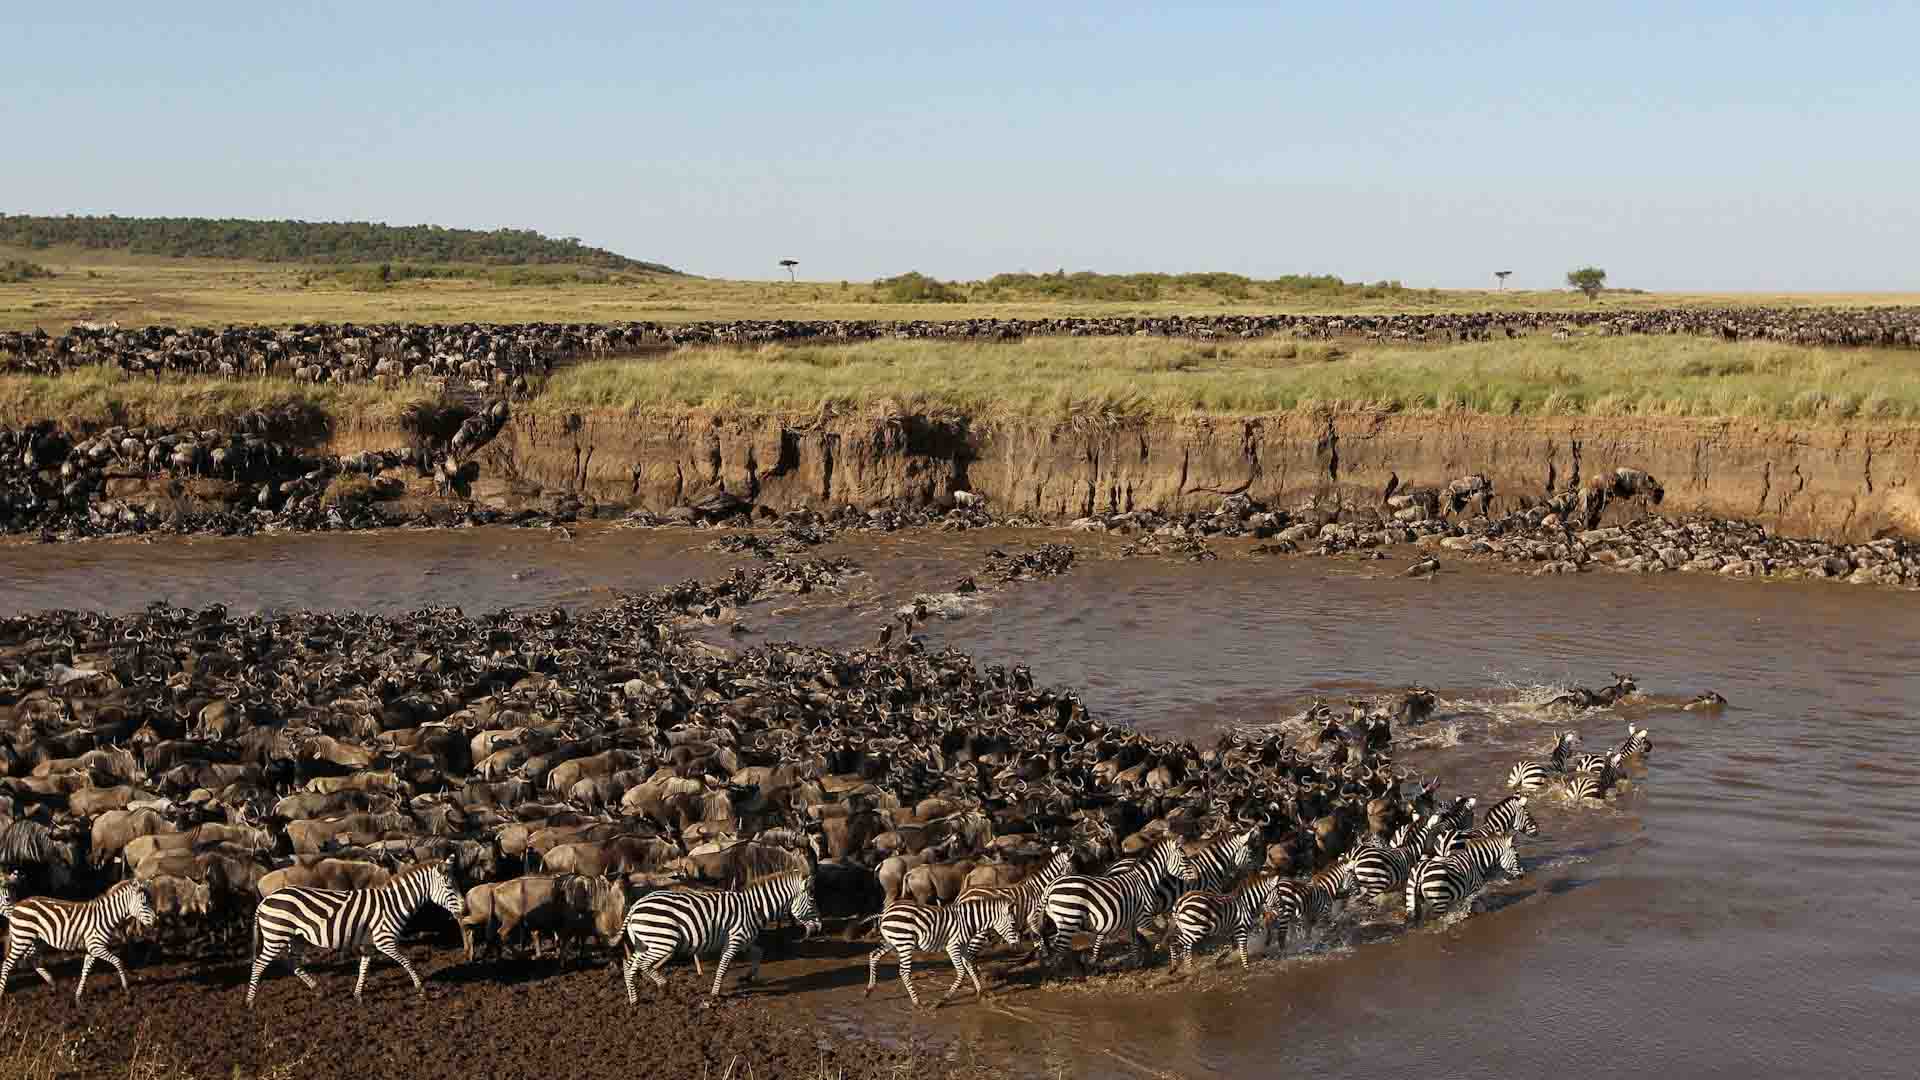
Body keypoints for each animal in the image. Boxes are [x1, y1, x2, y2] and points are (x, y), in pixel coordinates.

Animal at [0, 880, 155, 999]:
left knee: (32, 959)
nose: (155, 920)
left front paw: (78, 995)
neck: (105, 917)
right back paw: (1, 993)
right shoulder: (97, 947)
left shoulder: (92, 949)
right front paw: (126, 988)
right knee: (7, 963)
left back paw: (53, 984)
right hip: (22, 937)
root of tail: (18, 904)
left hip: (32, 939)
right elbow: (118, 962)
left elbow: (85, 970)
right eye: (144, 904)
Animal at [245, 853, 462, 1006]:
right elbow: (407, 961)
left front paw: (358, 996)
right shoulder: (385, 940)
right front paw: (421, 989)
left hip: (295, 937)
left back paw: (318, 989)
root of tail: (265, 901)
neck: (392, 903)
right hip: (276, 935)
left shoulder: (369, 944)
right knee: (259, 964)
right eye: (450, 887)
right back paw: (250, 1002)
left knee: (293, 964)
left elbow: (363, 968)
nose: (464, 909)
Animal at [622, 864, 817, 999]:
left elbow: (759, 953)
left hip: (644, 943)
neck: (753, 908)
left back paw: (634, 999)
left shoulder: (746, 940)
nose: (818, 928)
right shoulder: (735, 940)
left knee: (629, 964)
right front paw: (715, 994)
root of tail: (635, 906)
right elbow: (723, 968)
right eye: (812, 901)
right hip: (663, 942)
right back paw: (663, 984)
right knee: (643, 964)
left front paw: (749, 977)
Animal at [867, 887, 1021, 1006]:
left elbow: (970, 965)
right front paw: (943, 1000)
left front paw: (981, 992)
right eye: (1013, 924)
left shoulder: (963, 946)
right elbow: (961, 972)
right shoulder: (953, 946)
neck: (968, 922)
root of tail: (886, 912)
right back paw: (917, 1002)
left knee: (874, 955)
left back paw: (869, 989)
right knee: (904, 972)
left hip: (892, 941)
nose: (1017, 945)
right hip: (904, 943)